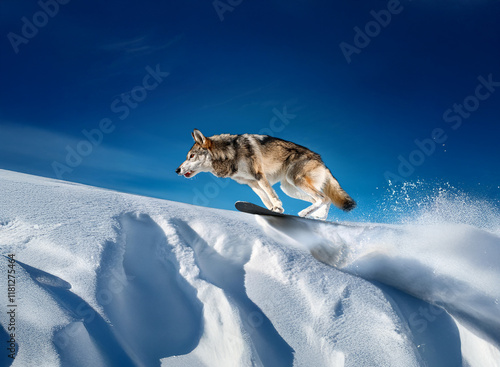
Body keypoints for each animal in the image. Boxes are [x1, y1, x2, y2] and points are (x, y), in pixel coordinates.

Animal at [176, 130, 356, 220]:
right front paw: (271, 210)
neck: (230, 153)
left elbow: (270, 194)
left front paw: (278, 208)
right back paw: (318, 217)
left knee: (323, 198)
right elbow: (264, 198)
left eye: (191, 156)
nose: (177, 170)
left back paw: (305, 214)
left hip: (295, 180)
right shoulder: (251, 183)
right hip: (289, 188)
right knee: (323, 199)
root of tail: (322, 161)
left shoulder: (258, 175)